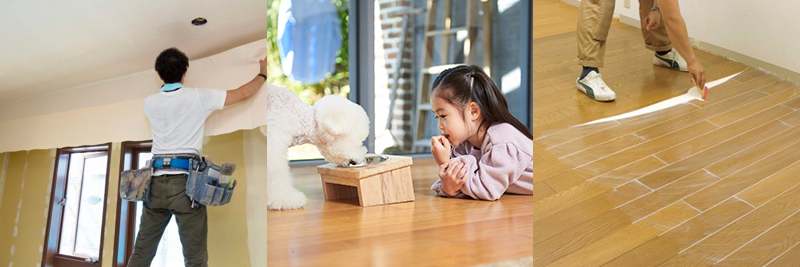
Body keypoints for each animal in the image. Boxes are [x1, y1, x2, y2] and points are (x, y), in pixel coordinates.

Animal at [260, 82, 370, 210]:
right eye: (360, 141)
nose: (358, 161)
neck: (299, 118)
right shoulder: (274, 140)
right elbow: (276, 173)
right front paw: (288, 201)